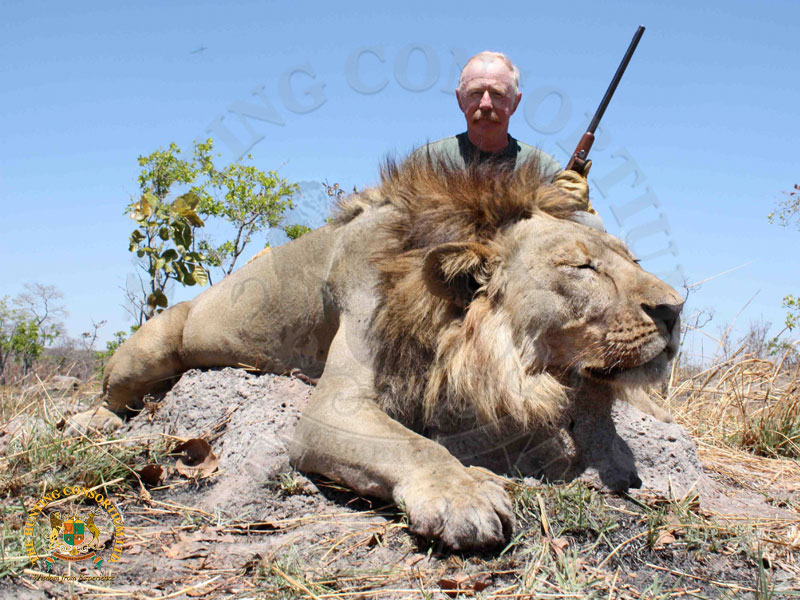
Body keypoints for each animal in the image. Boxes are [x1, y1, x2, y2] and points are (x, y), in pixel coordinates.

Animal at [104, 156, 682, 550]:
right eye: (582, 267)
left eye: (631, 260)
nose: (675, 308)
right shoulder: (333, 407)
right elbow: (417, 447)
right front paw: (466, 495)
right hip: (153, 344)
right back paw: (97, 421)